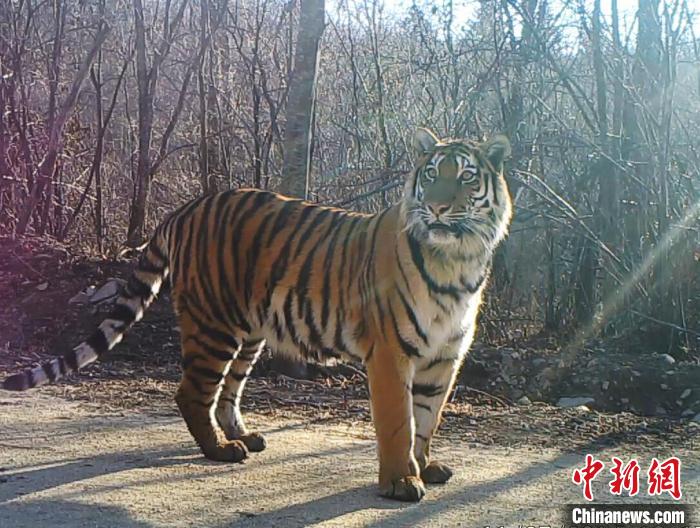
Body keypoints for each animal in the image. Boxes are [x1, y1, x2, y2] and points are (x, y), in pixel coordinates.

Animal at [2, 128, 512, 502]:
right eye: (432, 175)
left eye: (466, 177)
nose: (439, 207)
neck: (457, 261)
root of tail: (186, 207)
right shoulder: (390, 354)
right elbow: (398, 423)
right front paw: (400, 481)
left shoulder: (444, 357)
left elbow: (427, 420)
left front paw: (425, 466)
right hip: (213, 326)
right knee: (192, 392)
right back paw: (220, 450)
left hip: (248, 332)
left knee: (228, 391)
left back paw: (244, 438)